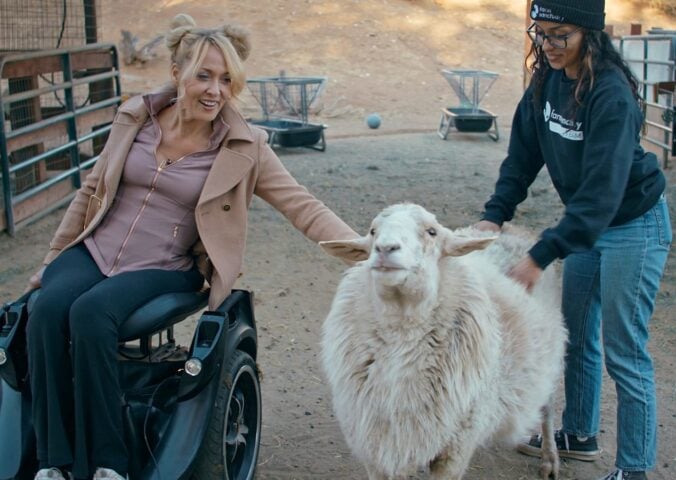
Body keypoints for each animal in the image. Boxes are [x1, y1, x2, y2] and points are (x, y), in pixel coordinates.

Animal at [320, 203, 568, 480]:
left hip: (549, 354)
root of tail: (513, 227)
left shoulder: (455, 449)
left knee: (547, 407)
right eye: (373, 231)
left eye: (432, 232)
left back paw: (550, 458)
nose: (385, 248)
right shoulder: (379, 447)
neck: (401, 330)